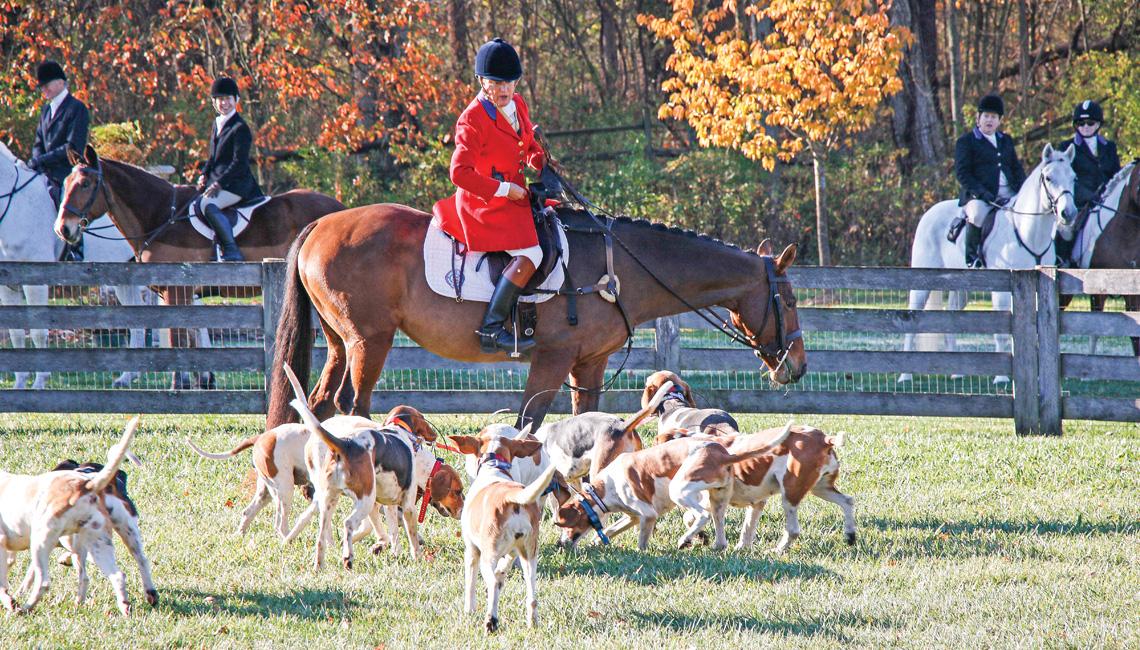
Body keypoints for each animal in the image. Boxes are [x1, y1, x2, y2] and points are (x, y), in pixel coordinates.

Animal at [53, 142, 344, 385]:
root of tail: (339, 208)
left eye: (85, 184)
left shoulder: (177, 291)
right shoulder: (176, 294)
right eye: (67, 182)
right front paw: (202, 379)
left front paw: (180, 384)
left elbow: (178, 338)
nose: (63, 229)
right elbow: (192, 335)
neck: (162, 217)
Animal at [262, 204, 807, 431]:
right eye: (790, 301)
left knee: (317, 403)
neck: (620, 268)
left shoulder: (588, 365)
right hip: (368, 342)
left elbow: (586, 422)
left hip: (340, 343)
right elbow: (528, 422)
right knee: (351, 405)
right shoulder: (552, 358)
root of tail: (320, 225)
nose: (797, 367)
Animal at [898, 143, 1076, 383]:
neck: (1027, 233)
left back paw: (957, 372)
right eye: (1048, 178)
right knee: (912, 316)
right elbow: (1002, 332)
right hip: (922, 282)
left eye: (1073, 177)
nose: (1069, 213)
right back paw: (905, 375)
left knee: (951, 317)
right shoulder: (1004, 288)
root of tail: (929, 212)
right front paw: (1002, 378)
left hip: (960, 285)